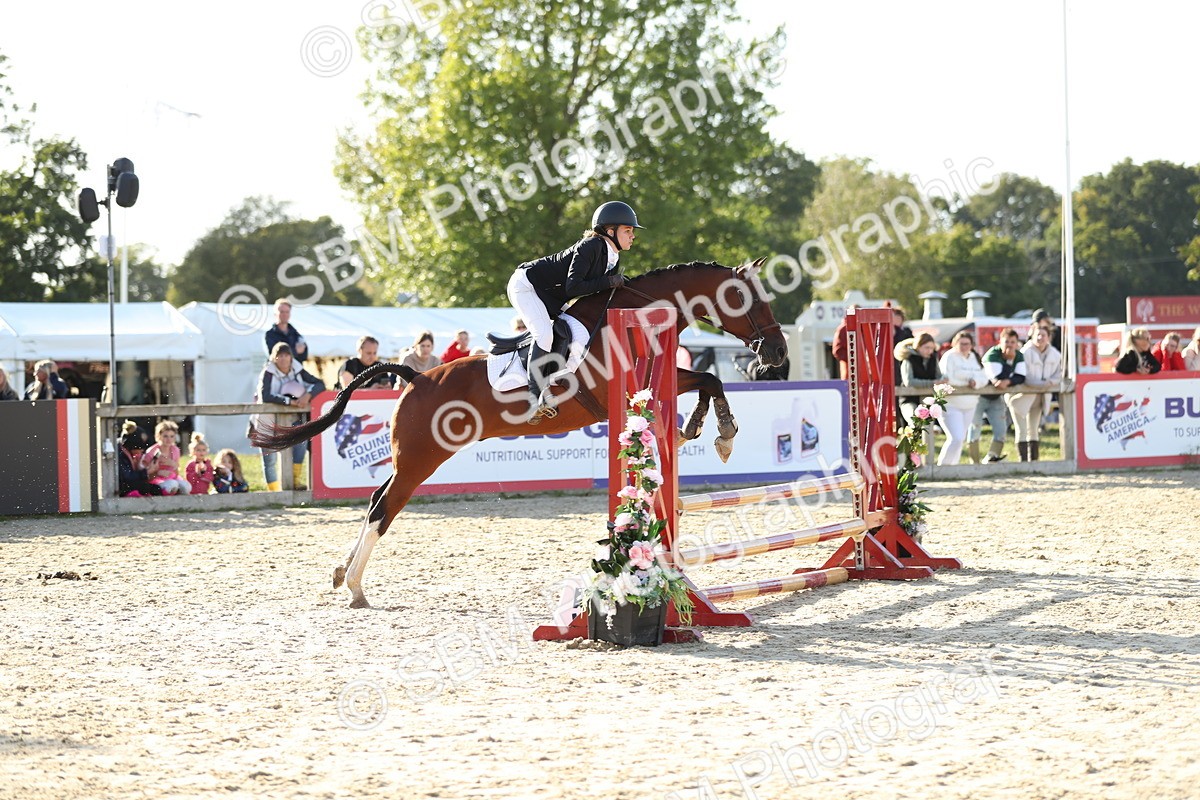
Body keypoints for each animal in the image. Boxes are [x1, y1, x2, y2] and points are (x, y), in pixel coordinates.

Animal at [252, 258, 788, 608]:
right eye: (745, 299)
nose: (779, 355)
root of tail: (417, 377)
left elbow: (707, 379)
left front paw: (702, 429)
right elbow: (707, 379)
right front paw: (719, 433)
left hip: (413, 456)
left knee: (373, 501)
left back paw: (344, 575)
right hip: (422, 459)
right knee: (384, 508)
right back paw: (357, 587)